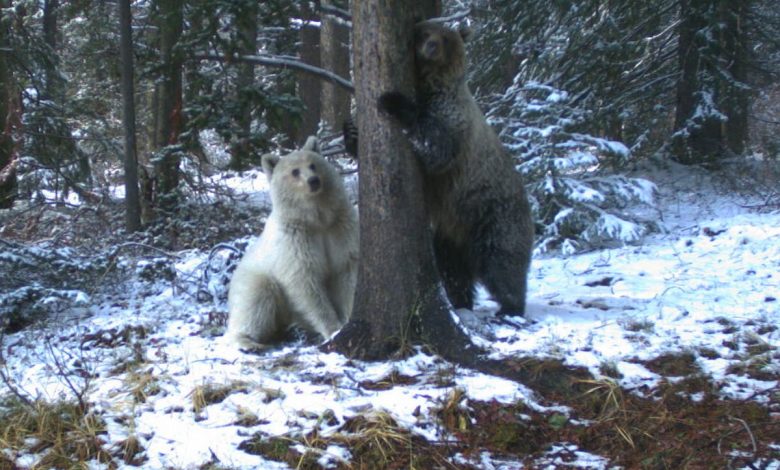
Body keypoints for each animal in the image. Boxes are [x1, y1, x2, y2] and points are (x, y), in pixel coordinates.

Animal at [225, 136, 360, 348]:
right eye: (295, 171)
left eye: (313, 164)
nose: (313, 181)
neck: (316, 220)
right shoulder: (295, 240)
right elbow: (305, 282)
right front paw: (333, 330)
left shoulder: (340, 229)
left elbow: (346, 272)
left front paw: (347, 319)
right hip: (254, 277)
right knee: (255, 301)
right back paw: (248, 342)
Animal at [374, 21, 532, 316]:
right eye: (424, 33)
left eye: (445, 38)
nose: (431, 46)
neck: (431, 85)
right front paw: (351, 132)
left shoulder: (453, 118)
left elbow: (436, 148)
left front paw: (394, 102)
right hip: (450, 234)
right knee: (452, 270)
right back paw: (461, 302)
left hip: (493, 214)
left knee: (501, 263)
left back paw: (510, 306)